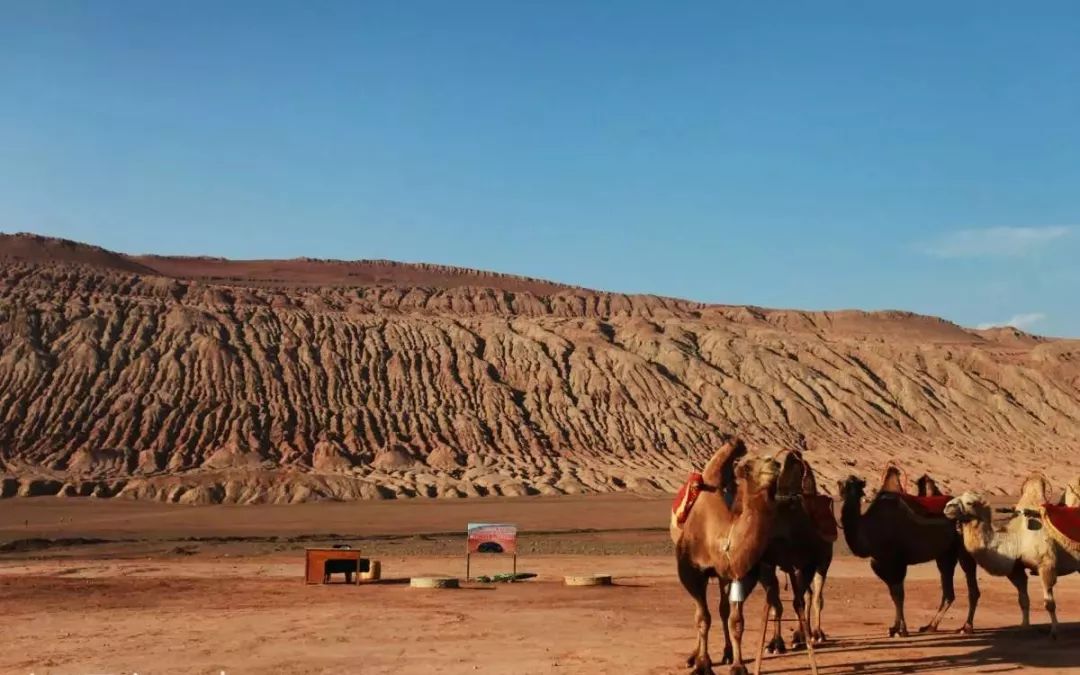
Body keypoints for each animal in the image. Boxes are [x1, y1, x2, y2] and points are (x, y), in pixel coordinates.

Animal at [669, 436, 781, 673]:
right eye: (747, 466)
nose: (774, 463)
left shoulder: (741, 574)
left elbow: (736, 621)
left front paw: (738, 666)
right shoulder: (691, 572)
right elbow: (702, 618)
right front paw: (702, 664)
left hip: (726, 576)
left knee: (722, 609)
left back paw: (730, 653)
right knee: (704, 612)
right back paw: (694, 656)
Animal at [760, 447, 833, 652]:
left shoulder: (808, 562)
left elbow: (797, 602)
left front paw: (799, 637)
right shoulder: (768, 565)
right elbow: (776, 604)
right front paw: (775, 644)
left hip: (823, 560)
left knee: (816, 597)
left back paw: (816, 635)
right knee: (808, 594)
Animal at [838, 468, 984, 635]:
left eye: (854, 484)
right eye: (841, 484)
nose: (842, 491)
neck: (869, 527)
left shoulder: (897, 561)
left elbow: (899, 595)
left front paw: (901, 630)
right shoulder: (880, 563)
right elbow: (893, 594)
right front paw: (895, 627)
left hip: (964, 548)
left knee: (971, 586)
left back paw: (966, 627)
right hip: (945, 554)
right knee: (948, 591)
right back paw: (930, 626)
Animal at [946, 473, 1080, 635]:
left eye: (970, 502)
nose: (947, 507)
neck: (1017, 539)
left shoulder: (1046, 565)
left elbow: (1049, 603)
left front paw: (1054, 631)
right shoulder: (1015, 569)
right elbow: (1023, 600)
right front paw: (1024, 627)